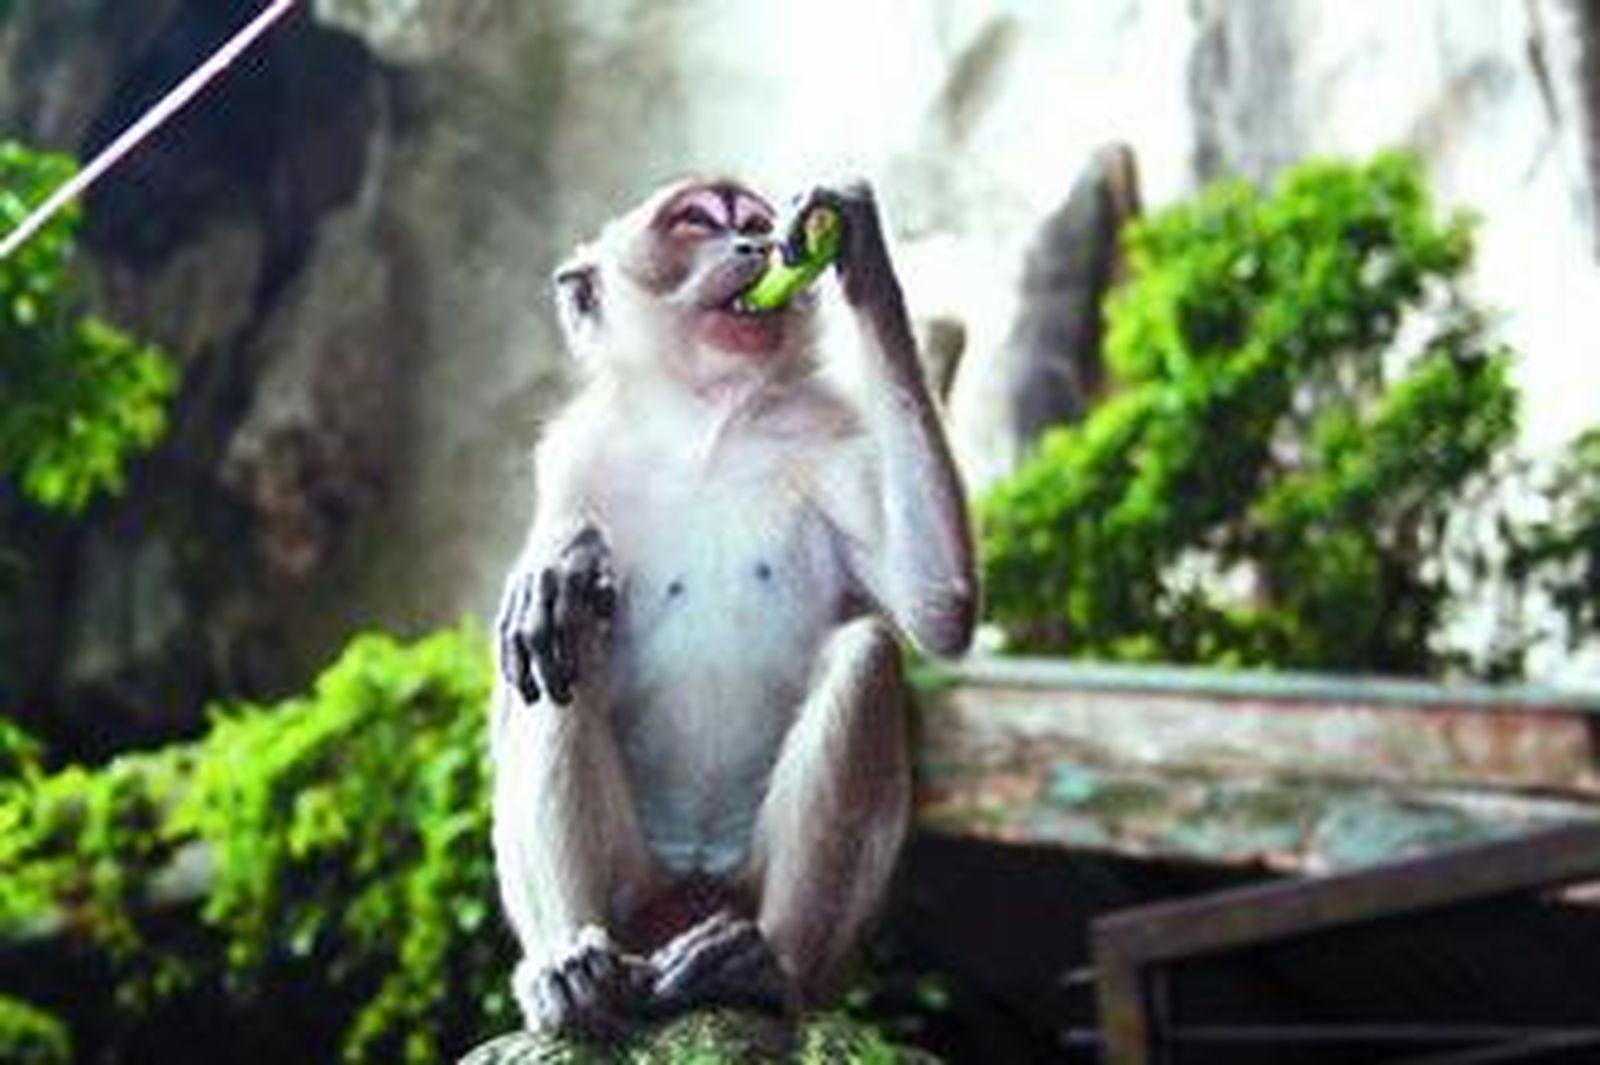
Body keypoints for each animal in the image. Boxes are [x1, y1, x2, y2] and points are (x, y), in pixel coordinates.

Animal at [490, 176, 976, 1040]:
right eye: (694, 222)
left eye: (752, 220)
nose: (753, 245)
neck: (705, 424)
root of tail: (692, 895)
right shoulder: (573, 458)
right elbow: (517, 648)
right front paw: (562, 564)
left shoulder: (831, 437)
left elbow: (936, 603)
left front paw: (857, 246)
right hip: (636, 890)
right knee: (554, 656)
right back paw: (572, 975)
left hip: (759, 897)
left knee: (869, 653)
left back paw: (766, 971)